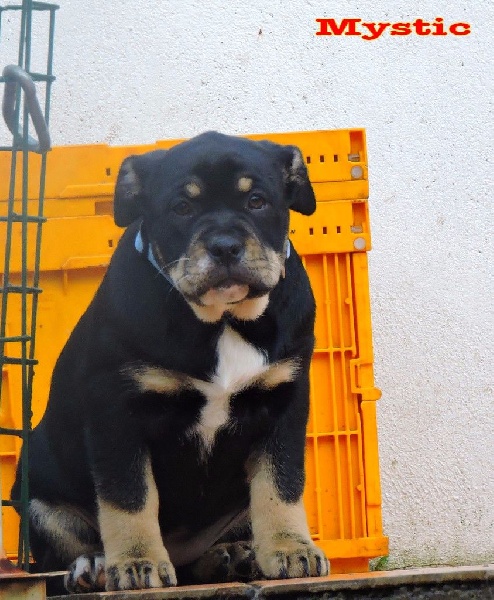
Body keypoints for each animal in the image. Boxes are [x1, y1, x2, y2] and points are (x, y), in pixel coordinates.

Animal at [12, 131, 329, 593]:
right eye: (182, 208)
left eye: (257, 201)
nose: (224, 246)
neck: (223, 320)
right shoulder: (117, 409)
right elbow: (129, 497)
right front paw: (136, 562)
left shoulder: (283, 400)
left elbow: (281, 484)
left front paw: (291, 550)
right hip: (36, 489)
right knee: (60, 553)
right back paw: (94, 567)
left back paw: (232, 556)